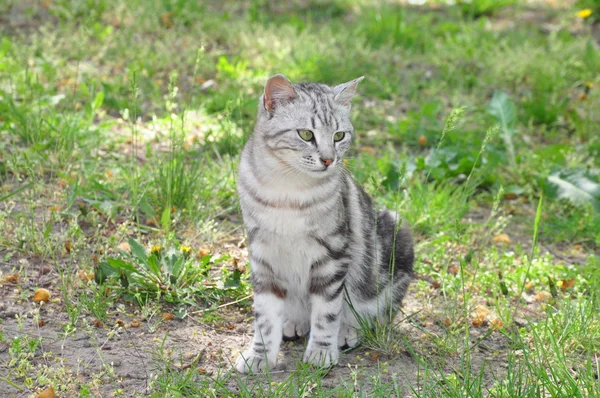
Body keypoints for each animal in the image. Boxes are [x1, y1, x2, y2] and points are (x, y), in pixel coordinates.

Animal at [234, 74, 412, 374]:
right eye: (306, 134)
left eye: (339, 136)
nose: (329, 159)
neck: (287, 191)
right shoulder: (263, 255)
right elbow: (265, 317)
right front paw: (260, 355)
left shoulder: (333, 254)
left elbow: (326, 312)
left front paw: (321, 351)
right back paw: (294, 323)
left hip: (397, 237)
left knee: (377, 315)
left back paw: (347, 331)